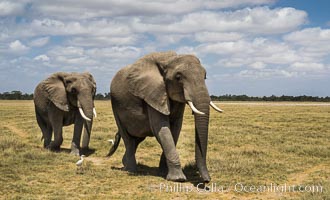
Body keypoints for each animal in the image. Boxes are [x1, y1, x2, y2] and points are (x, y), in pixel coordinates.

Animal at [107, 51, 223, 183]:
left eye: (205, 76)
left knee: (137, 138)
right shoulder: (152, 93)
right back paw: (131, 170)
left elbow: (175, 128)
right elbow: (162, 128)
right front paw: (178, 179)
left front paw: (163, 172)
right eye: (178, 77)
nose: (207, 180)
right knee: (128, 138)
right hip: (115, 104)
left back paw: (125, 164)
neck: (169, 60)